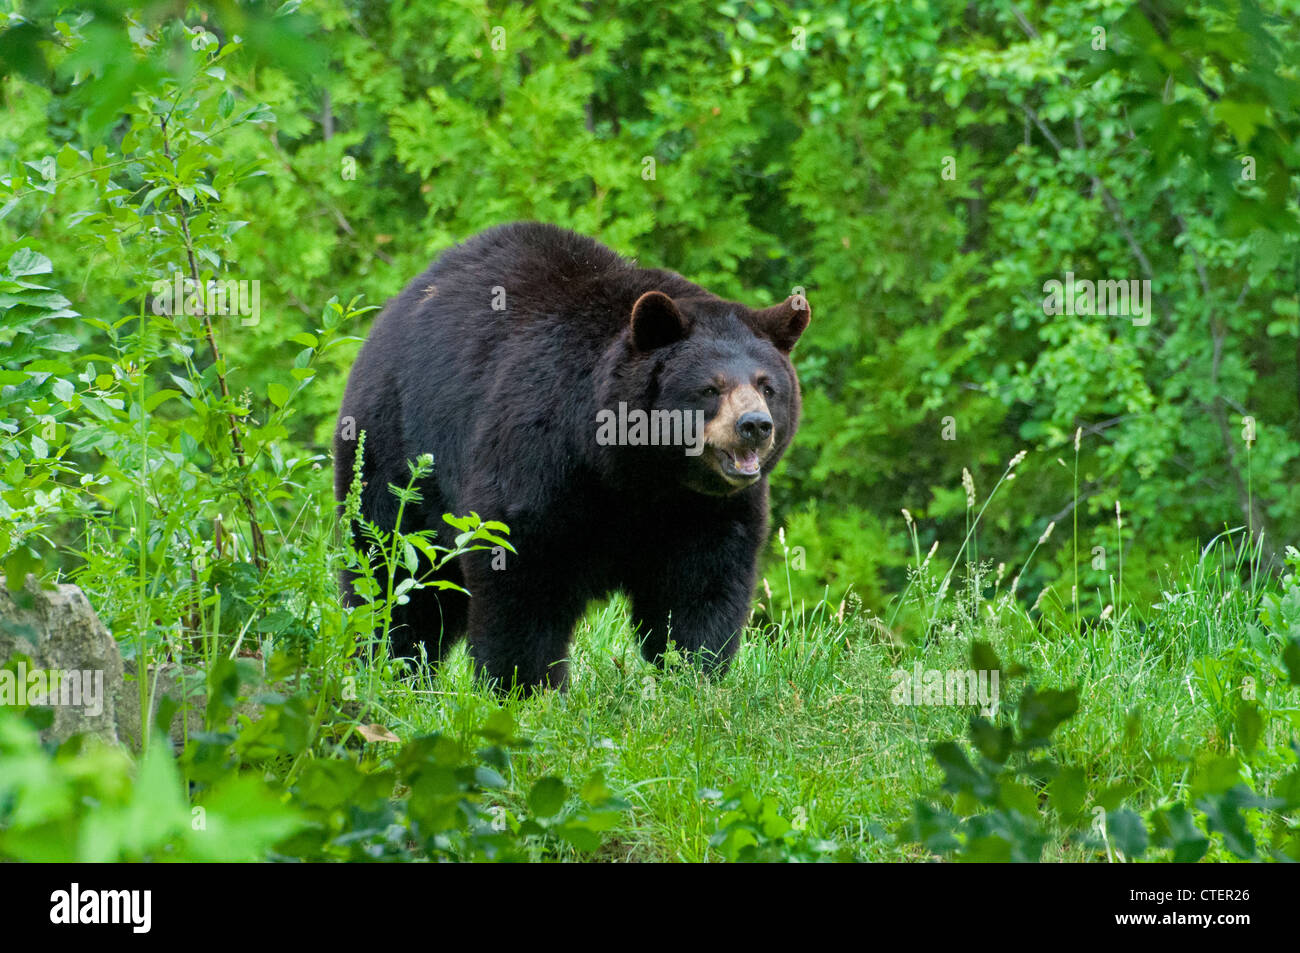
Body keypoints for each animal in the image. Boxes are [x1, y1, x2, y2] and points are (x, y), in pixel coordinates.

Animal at [334, 222, 809, 694]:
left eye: (767, 386)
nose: (755, 425)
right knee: (392, 569)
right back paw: (388, 664)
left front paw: (693, 674)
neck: (641, 471)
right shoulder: (541, 451)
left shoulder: (707, 508)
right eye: (711, 388)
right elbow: (521, 569)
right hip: (397, 449)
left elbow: (702, 585)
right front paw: (525, 685)